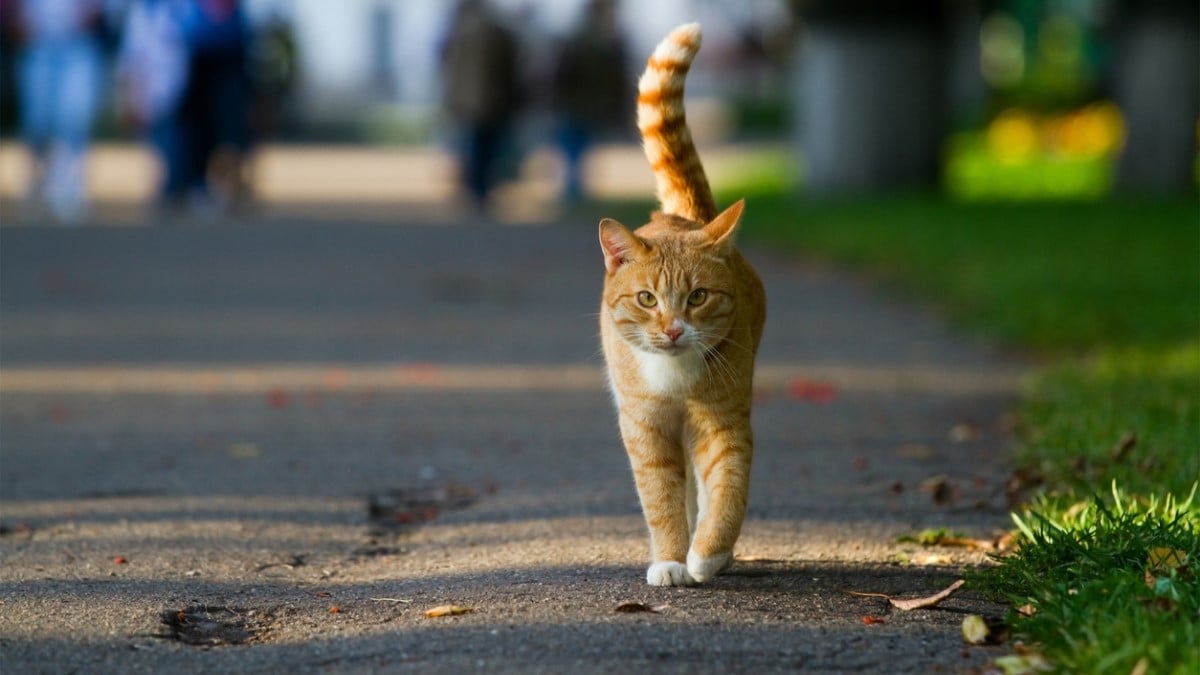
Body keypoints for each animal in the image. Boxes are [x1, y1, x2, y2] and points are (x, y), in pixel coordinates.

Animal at [600, 22, 768, 583]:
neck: (674, 378)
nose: (673, 329)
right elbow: (662, 499)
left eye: (697, 297)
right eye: (647, 298)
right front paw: (672, 557)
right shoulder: (646, 430)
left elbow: (729, 489)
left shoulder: (723, 423)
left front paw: (709, 552)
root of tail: (683, 217)